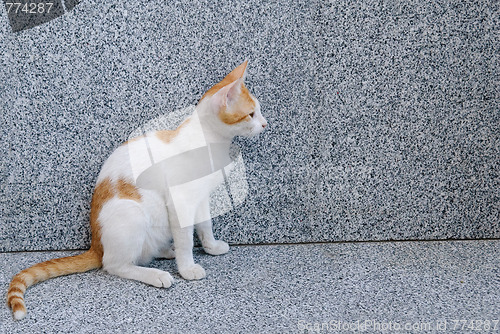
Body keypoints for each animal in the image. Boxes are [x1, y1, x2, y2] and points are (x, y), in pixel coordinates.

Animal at [5, 61, 268, 320]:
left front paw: (211, 247)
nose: (266, 124)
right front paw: (187, 267)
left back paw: (166, 251)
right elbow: (185, 238)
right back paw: (155, 274)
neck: (209, 142)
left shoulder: (200, 198)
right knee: (115, 264)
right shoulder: (181, 201)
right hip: (132, 213)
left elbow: (205, 226)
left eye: (259, 111)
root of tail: (96, 245)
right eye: (251, 114)